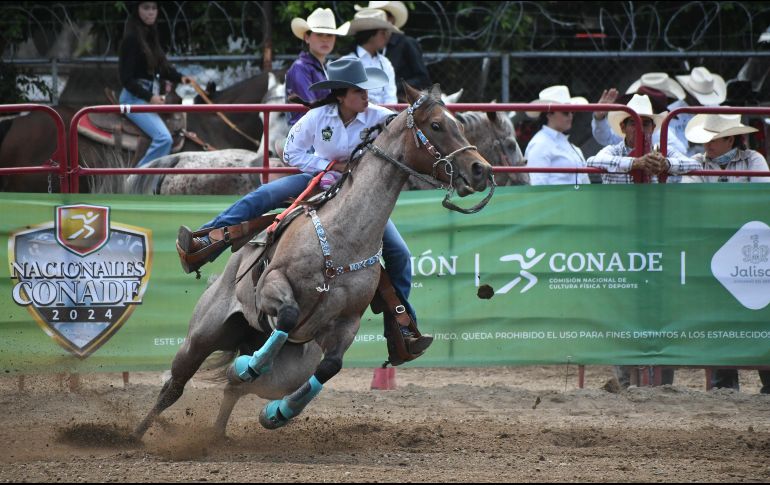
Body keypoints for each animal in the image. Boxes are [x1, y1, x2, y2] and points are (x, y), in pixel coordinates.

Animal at [133, 83, 493, 438]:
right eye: (436, 125)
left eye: (460, 125)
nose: (481, 170)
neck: (342, 236)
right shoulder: (271, 286)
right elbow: (289, 315)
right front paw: (251, 366)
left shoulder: (347, 322)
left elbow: (330, 367)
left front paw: (276, 414)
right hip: (201, 336)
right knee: (175, 385)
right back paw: (137, 433)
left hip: (285, 369)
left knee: (235, 387)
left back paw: (217, 434)